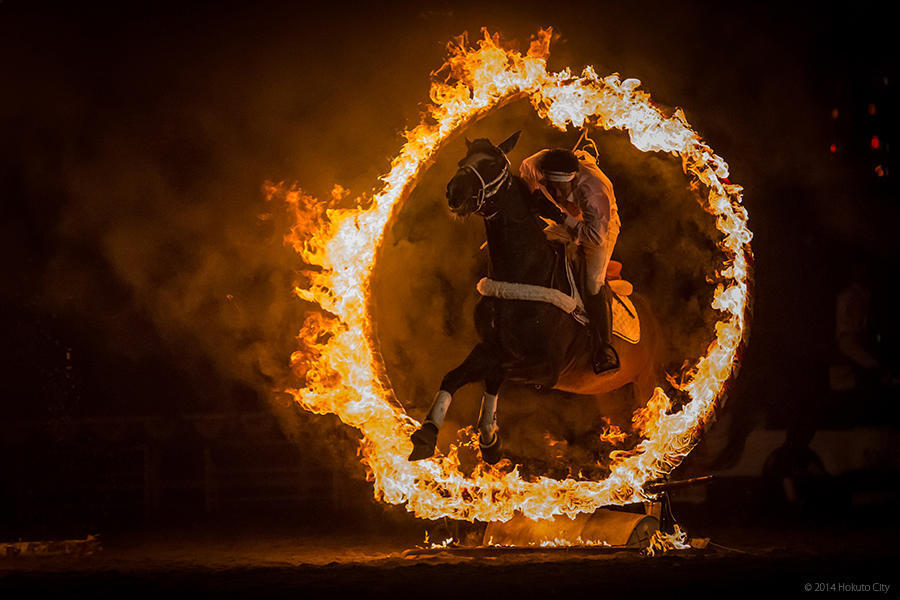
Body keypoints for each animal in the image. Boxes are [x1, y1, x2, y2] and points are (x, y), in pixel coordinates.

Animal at [408, 132, 660, 464]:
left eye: (493, 165)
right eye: (463, 161)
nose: (454, 191)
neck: (523, 273)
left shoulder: (545, 368)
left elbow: (494, 376)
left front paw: (490, 440)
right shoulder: (490, 348)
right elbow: (453, 376)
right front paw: (427, 433)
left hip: (644, 381)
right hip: (606, 392)